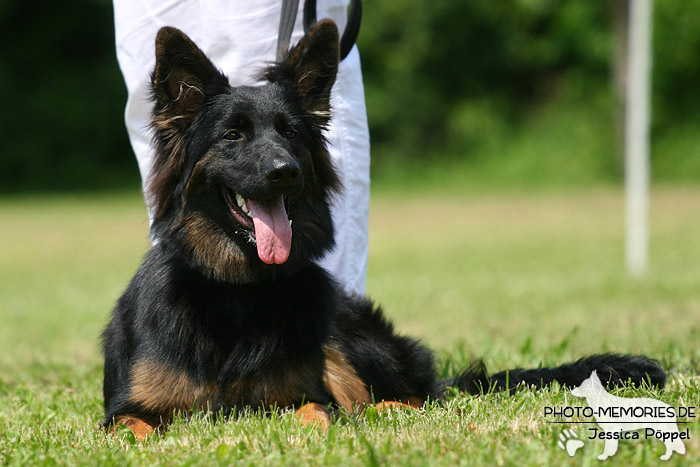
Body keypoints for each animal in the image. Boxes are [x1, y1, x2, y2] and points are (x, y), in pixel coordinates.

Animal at [101, 20, 664, 440]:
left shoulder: (305, 393)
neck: (236, 294)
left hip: (348, 337)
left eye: (291, 133)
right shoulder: (123, 410)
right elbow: (131, 430)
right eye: (232, 135)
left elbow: (315, 412)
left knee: (410, 399)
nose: (287, 171)